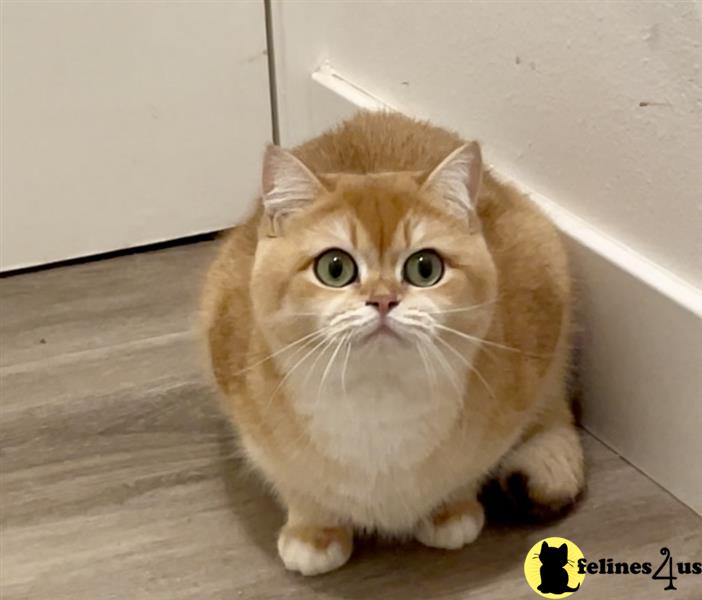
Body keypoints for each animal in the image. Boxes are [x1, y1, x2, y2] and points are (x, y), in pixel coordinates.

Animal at [201, 110, 584, 576]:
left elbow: (469, 472)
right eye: (334, 268)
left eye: (425, 268)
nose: (383, 300)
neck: (378, 402)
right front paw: (313, 534)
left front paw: (450, 512)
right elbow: (299, 488)